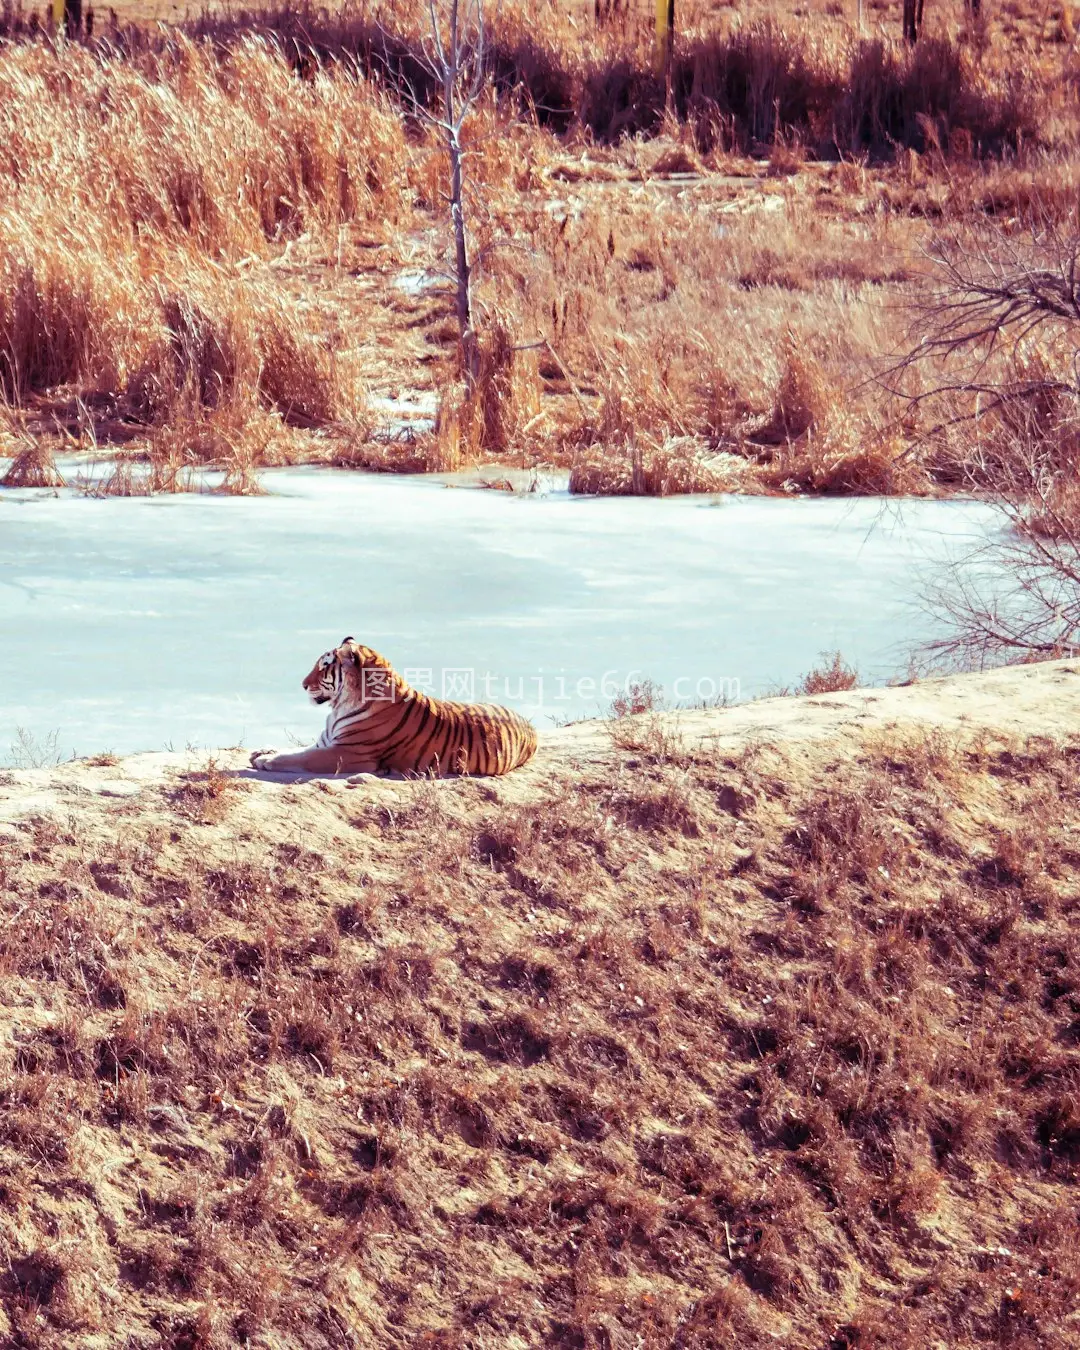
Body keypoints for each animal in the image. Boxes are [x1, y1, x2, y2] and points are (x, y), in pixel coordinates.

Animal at [252, 637, 540, 777]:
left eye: (324, 666)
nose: (302, 685)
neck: (338, 708)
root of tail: (529, 724)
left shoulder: (349, 753)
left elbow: (301, 757)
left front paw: (266, 760)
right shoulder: (328, 742)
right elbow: (295, 749)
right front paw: (262, 751)